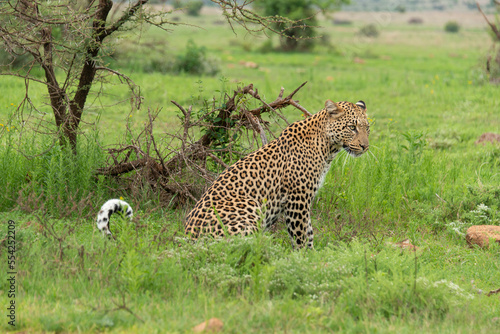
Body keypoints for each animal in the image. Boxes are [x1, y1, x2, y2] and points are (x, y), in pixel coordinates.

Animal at [185, 98, 372, 249]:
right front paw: (303, 259)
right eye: (352, 127)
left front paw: (313, 257)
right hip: (249, 208)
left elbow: (309, 232)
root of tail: (187, 240)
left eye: (367, 128)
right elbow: (300, 234)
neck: (327, 148)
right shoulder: (297, 198)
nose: (365, 146)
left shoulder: (304, 198)